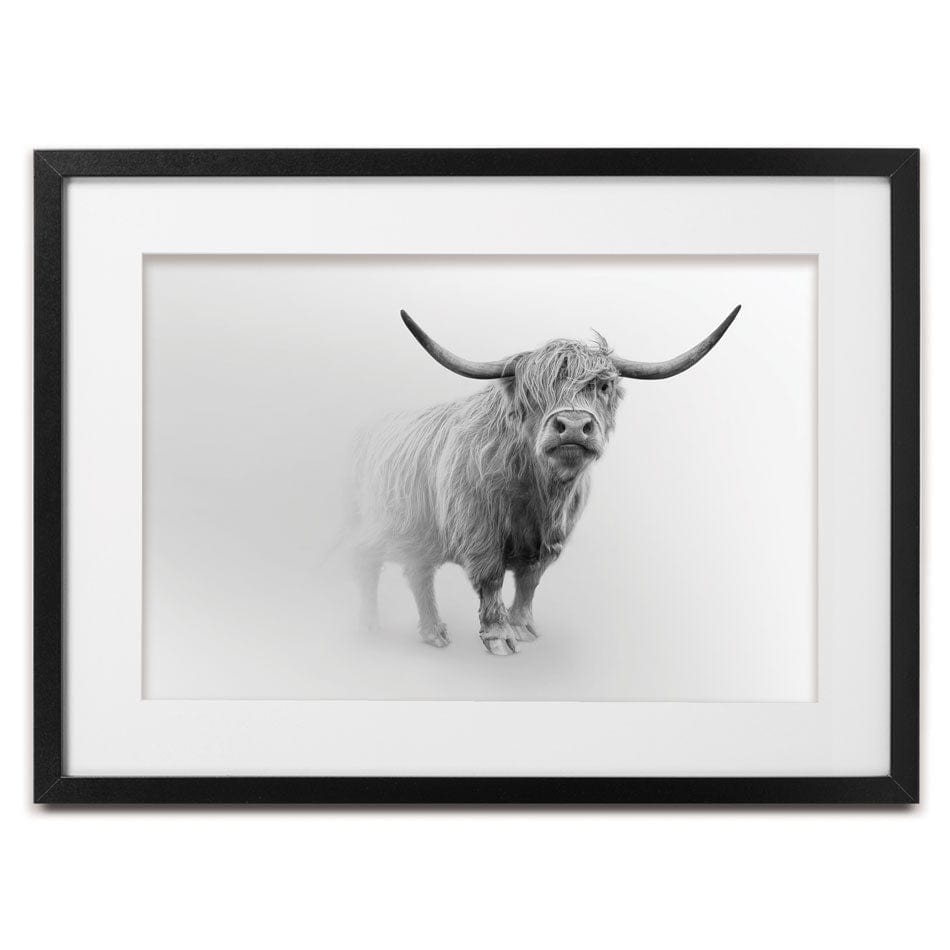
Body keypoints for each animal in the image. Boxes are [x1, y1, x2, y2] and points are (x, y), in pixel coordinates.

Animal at [350, 305, 740, 656]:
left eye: (602, 386)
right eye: (532, 392)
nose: (573, 426)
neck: (538, 491)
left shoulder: (550, 539)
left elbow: (529, 581)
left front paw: (522, 628)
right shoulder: (479, 531)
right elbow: (491, 578)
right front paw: (499, 636)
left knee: (418, 573)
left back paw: (433, 633)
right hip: (377, 524)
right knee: (368, 561)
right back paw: (369, 624)